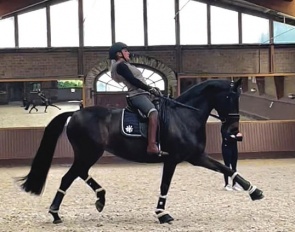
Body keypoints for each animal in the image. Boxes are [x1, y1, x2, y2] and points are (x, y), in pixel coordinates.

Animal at [18, 78, 264, 225]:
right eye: (229, 97)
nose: (233, 130)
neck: (184, 116)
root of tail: (75, 113)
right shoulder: (173, 159)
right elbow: (165, 185)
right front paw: (162, 214)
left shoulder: (195, 157)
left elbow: (225, 168)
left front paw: (255, 191)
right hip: (89, 153)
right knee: (69, 177)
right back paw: (56, 213)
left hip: (88, 154)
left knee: (78, 174)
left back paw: (99, 199)